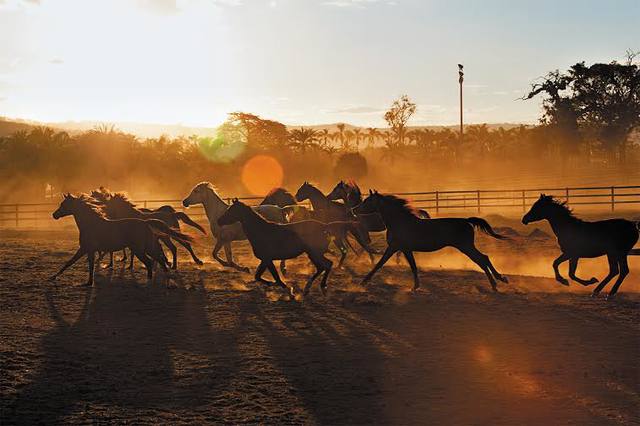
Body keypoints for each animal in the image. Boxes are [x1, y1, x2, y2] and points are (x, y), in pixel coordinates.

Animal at [50, 193, 192, 286]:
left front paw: (53, 277)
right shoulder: (90, 250)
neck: (91, 224)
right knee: (159, 260)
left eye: (64, 204)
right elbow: (84, 264)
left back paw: (151, 280)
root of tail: (146, 222)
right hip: (149, 247)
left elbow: (72, 262)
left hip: (141, 249)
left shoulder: (86, 248)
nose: (54, 215)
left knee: (152, 262)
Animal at [352, 191, 508, 292]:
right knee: (483, 259)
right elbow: (413, 266)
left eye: (367, 201)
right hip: (466, 247)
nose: (354, 209)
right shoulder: (405, 249)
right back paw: (498, 281)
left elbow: (379, 264)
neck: (400, 222)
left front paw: (363, 282)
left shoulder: (394, 247)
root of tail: (466, 220)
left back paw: (497, 282)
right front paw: (415, 286)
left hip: (466, 247)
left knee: (482, 259)